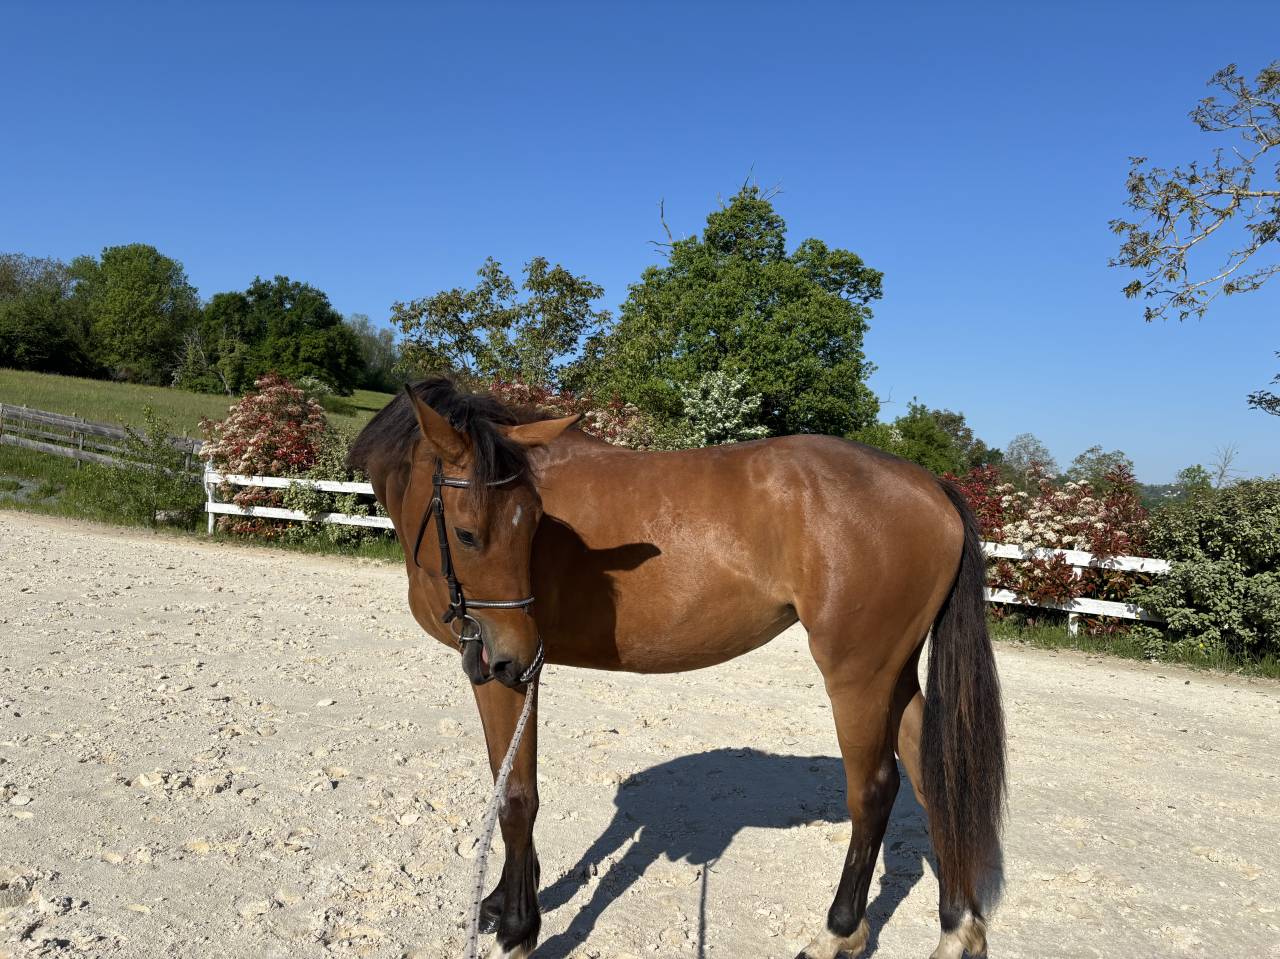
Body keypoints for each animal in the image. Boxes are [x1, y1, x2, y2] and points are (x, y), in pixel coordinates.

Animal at [348, 377, 1005, 959]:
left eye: (531, 526)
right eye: (468, 533)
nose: (514, 651)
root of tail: (930, 486)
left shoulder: (506, 675)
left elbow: (515, 794)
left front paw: (517, 928)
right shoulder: (498, 667)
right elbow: (504, 777)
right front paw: (504, 900)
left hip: (857, 675)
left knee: (873, 790)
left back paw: (836, 934)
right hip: (895, 674)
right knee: (933, 778)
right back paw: (957, 929)